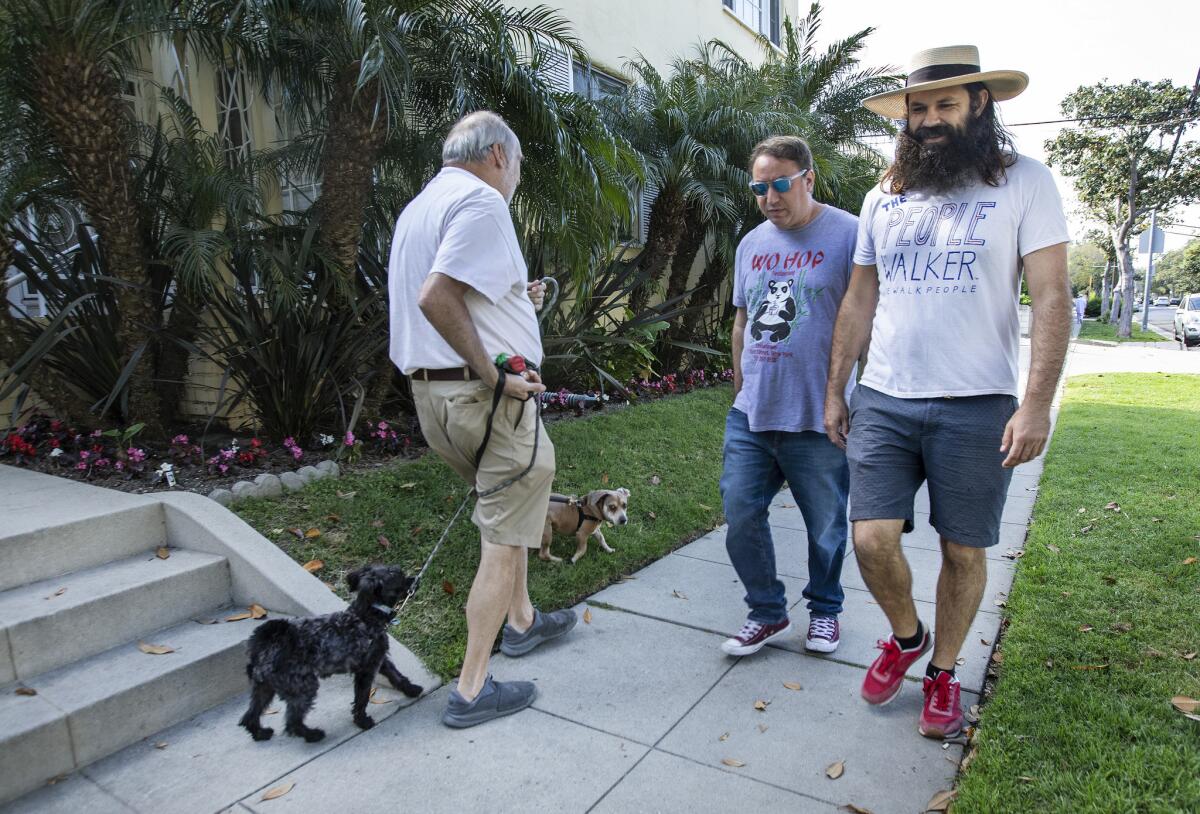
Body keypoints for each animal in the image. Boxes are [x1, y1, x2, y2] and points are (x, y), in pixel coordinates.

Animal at [237, 564, 422, 744]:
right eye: (400, 579)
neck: (364, 615)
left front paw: (411, 689)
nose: (416, 579)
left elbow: (396, 675)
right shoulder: (366, 670)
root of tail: (264, 646)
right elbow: (362, 699)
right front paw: (362, 721)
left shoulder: (378, 658)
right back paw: (312, 735)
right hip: (303, 686)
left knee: (250, 715)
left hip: (264, 687)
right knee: (292, 722)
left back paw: (260, 733)